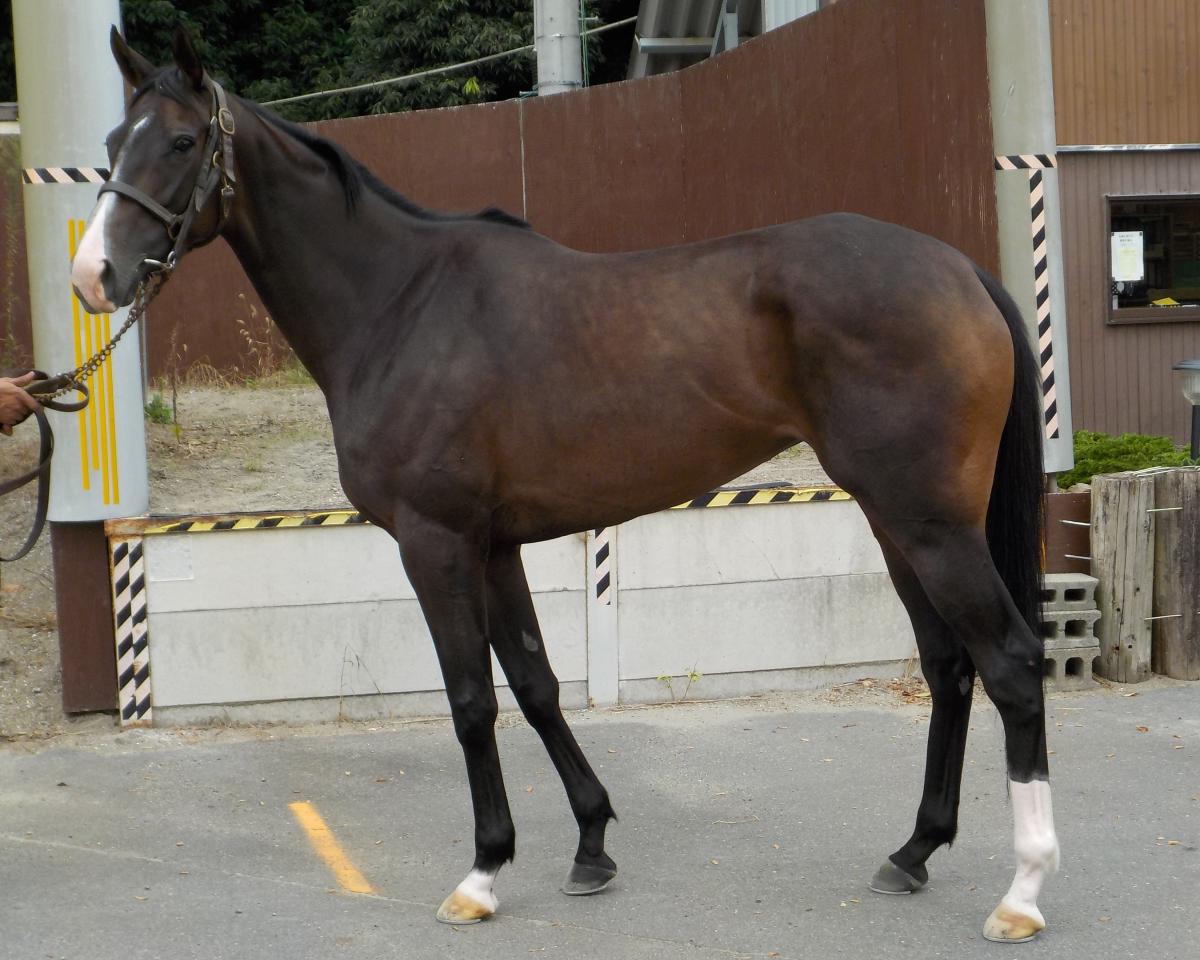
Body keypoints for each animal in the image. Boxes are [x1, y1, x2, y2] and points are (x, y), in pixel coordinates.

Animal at [71, 26, 1059, 942]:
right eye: (115, 137)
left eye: (183, 141)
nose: (94, 277)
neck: (400, 304)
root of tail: (959, 268)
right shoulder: (495, 545)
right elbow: (537, 685)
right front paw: (591, 844)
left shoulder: (435, 543)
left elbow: (472, 701)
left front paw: (482, 873)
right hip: (898, 525)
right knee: (948, 666)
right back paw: (914, 851)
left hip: (931, 526)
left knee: (1010, 660)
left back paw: (1022, 892)